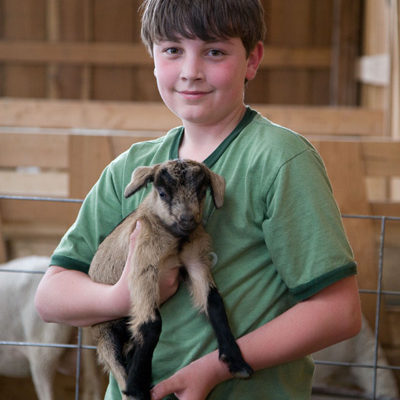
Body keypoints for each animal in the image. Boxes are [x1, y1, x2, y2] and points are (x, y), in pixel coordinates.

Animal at [88, 159, 252, 400]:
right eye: (163, 193)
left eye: (202, 191)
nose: (187, 218)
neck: (176, 240)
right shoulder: (143, 265)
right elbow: (151, 324)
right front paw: (136, 387)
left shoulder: (195, 261)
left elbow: (214, 303)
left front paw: (235, 360)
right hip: (105, 337)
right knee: (118, 365)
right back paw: (134, 386)